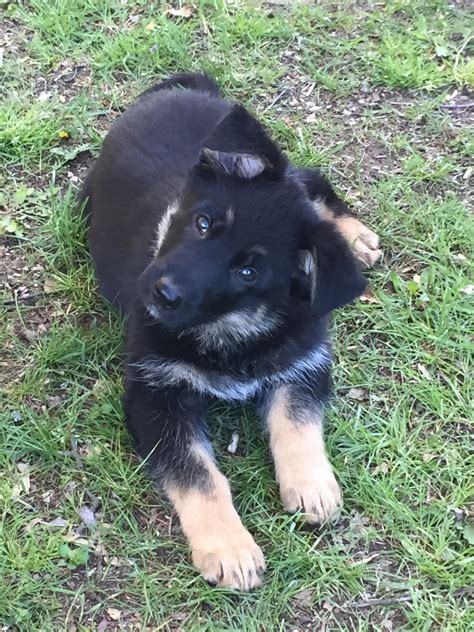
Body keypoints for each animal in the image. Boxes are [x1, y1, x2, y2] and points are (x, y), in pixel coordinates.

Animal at [81, 74, 380, 592]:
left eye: (248, 272)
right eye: (203, 224)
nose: (161, 293)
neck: (230, 328)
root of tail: (182, 89)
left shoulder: (305, 360)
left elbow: (298, 422)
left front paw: (312, 484)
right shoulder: (156, 396)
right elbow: (199, 474)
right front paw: (229, 548)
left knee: (312, 182)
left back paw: (353, 235)